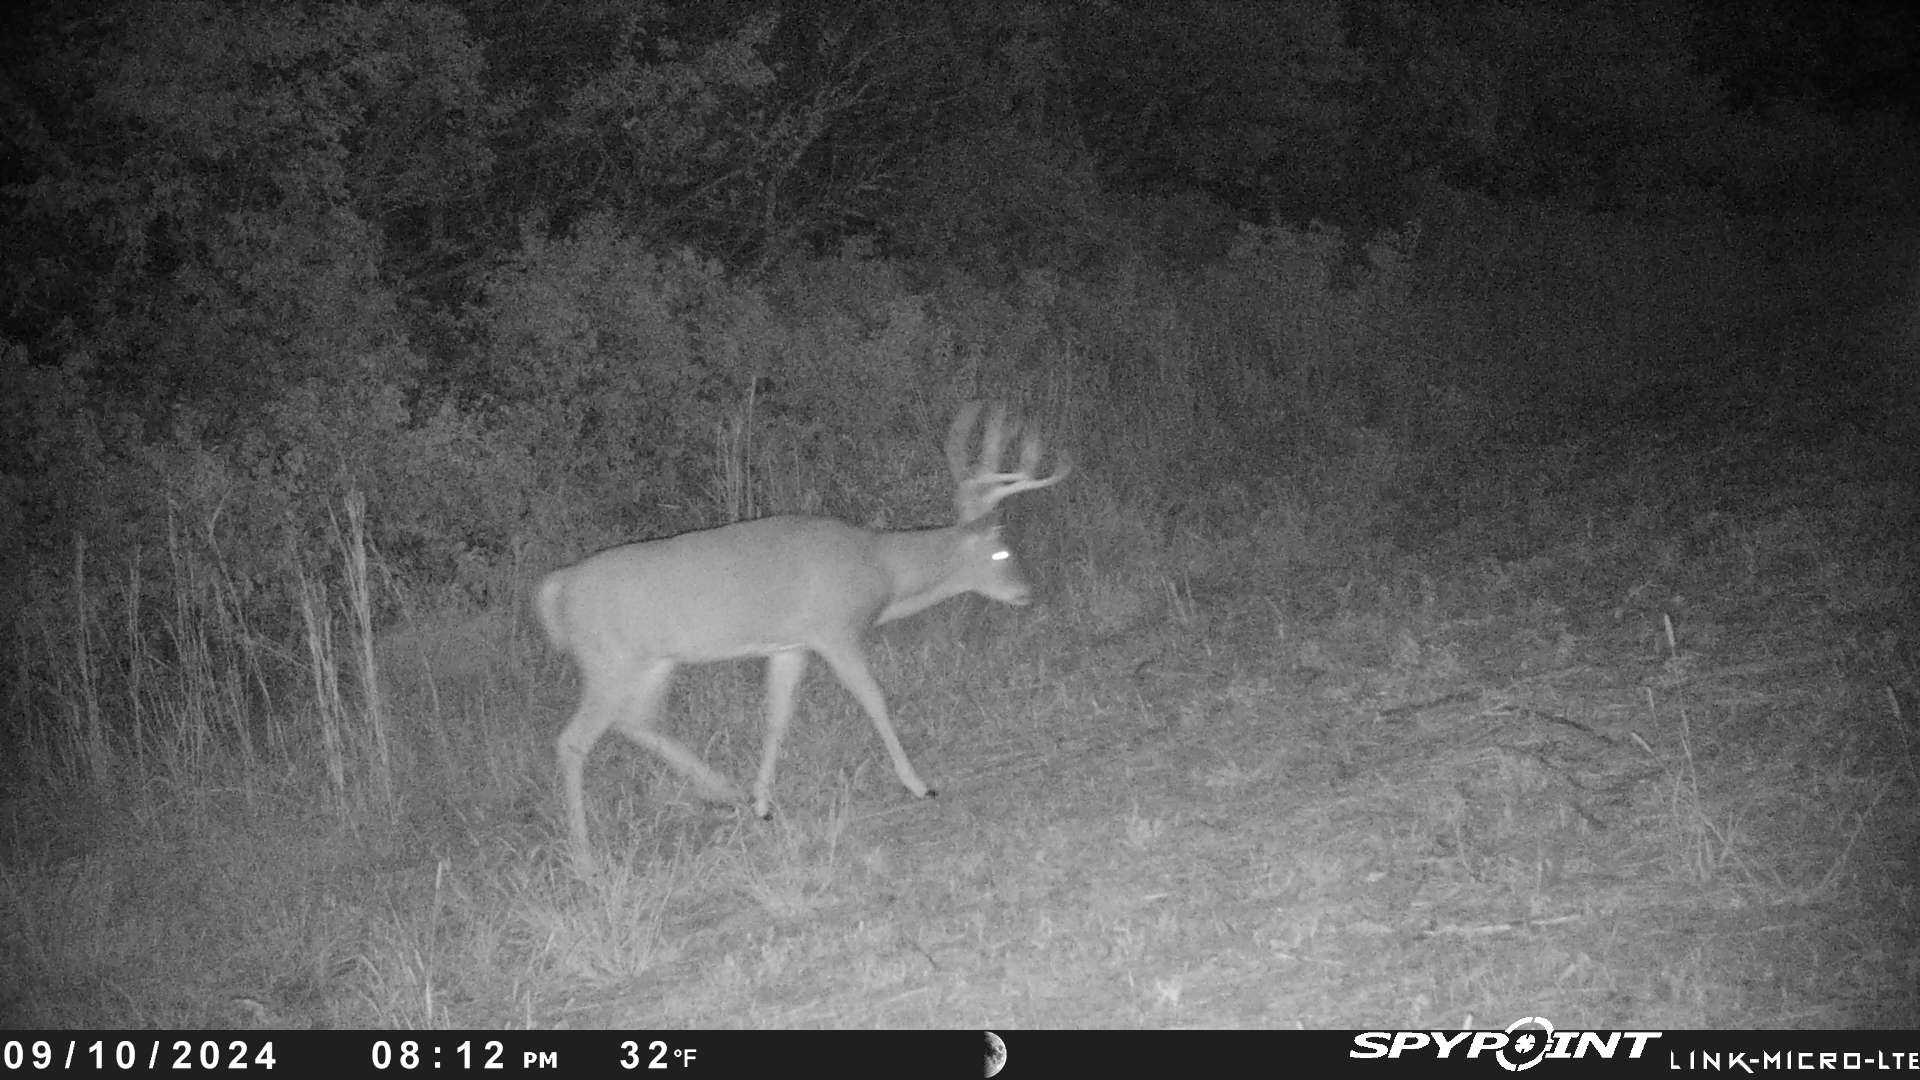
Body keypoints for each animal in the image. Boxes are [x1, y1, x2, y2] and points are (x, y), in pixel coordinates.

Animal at [535, 402, 1070, 868]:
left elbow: (777, 716)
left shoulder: (791, 644)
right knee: (573, 741)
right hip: (609, 661)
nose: (1028, 592)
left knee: (637, 722)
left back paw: (725, 791)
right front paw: (919, 784)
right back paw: (585, 858)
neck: (882, 571)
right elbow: (874, 698)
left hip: (651, 664)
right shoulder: (836, 630)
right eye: (1002, 553)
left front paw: (762, 804)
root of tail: (557, 587)